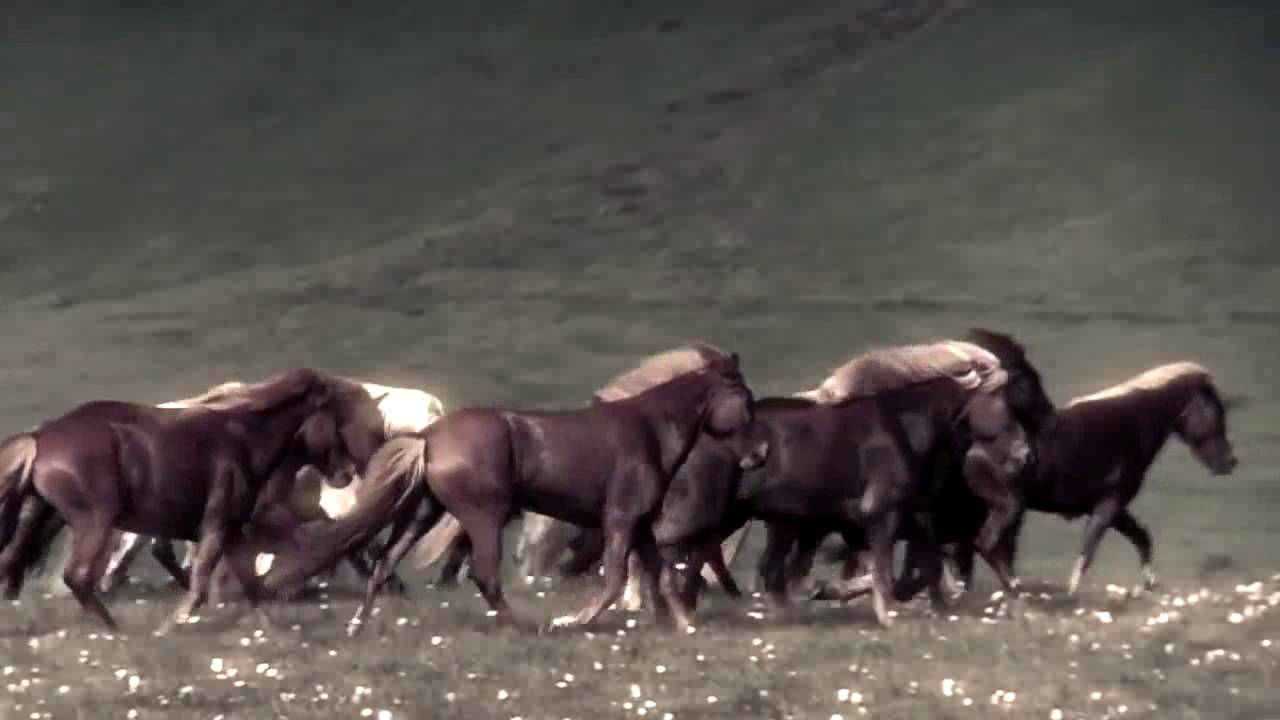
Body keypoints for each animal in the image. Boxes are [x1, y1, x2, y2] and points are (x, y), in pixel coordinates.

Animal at [0, 369, 387, 632]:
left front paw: (271, 631)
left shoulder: (232, 531)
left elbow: (251, 587)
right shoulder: (215, 526)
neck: (244, 442)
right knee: (77, 576)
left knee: (13, 563)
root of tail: (39, 437)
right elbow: (202, 585)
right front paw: (169, 627)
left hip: (43, 516)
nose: (347, 473)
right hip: (95, 521)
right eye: (336, 421)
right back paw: (115, 631)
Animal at [262, 343, 756, 635]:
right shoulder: (619, 521)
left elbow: (663, 577)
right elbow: (616, 580)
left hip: (424, 513)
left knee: (385, 562)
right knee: (483, 574)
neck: (648, 430)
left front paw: (687, 627)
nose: (760, 453)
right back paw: (519, 626)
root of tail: (429, 437)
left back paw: (357, 625)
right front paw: (573, 621)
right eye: (745, 400)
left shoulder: (640, 526)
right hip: (484, 516)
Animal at [678, 340, 1034, 627]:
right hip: (746, 517)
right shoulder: (879, 517)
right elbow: (890, 572)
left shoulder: (897, 520)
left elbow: (914, 569)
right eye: (1002, 407)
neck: (904, 427)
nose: (1024, 454)